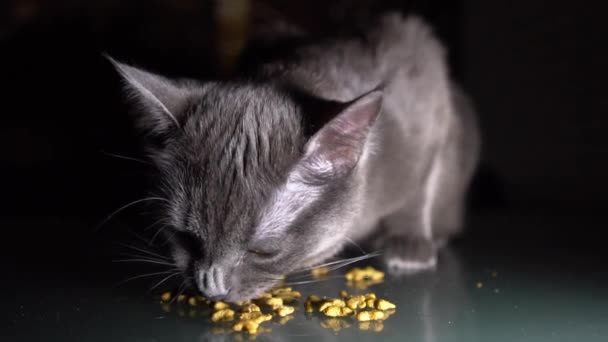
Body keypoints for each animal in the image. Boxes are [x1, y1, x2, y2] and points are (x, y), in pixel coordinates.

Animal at [108, 12, 480, 302]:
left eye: (264, 250)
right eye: (186, 237)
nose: (211, 289)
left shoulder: (429, 102)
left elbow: (420, 190)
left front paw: (408, 243)